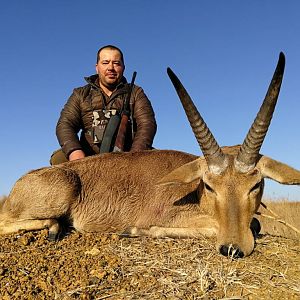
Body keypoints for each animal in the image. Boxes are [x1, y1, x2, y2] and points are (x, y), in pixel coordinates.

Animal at [0, 52, 298, 258]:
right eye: (210, 186)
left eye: (256, 185)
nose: (232, 248)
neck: (195, 192)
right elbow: (219, 226)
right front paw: (133, 230)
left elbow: (255, 222)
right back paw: (53, 226)